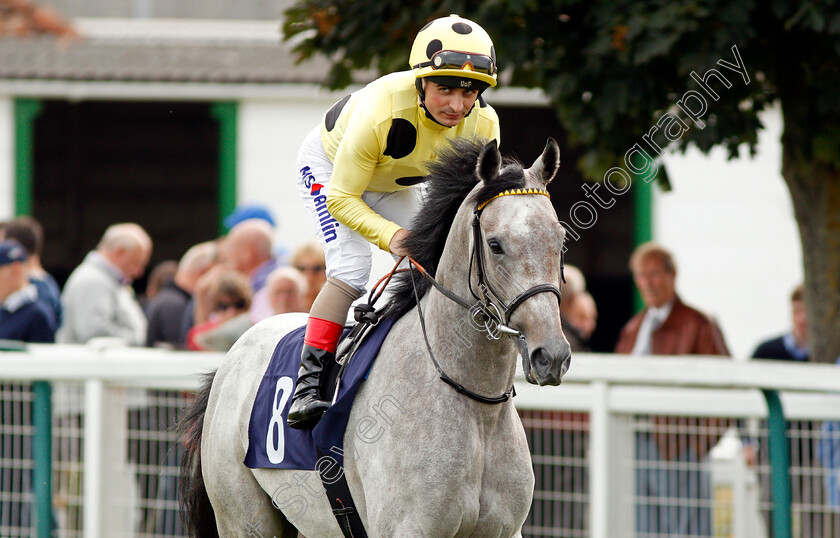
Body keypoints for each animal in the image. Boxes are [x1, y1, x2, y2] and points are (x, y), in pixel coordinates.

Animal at [180, 137, 576, 532]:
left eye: (560, 241)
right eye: (495, 245)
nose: (551, 355)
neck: (476, 403)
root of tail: (232, 358)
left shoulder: (505, 530)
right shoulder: (407, 527)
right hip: (243, 517)